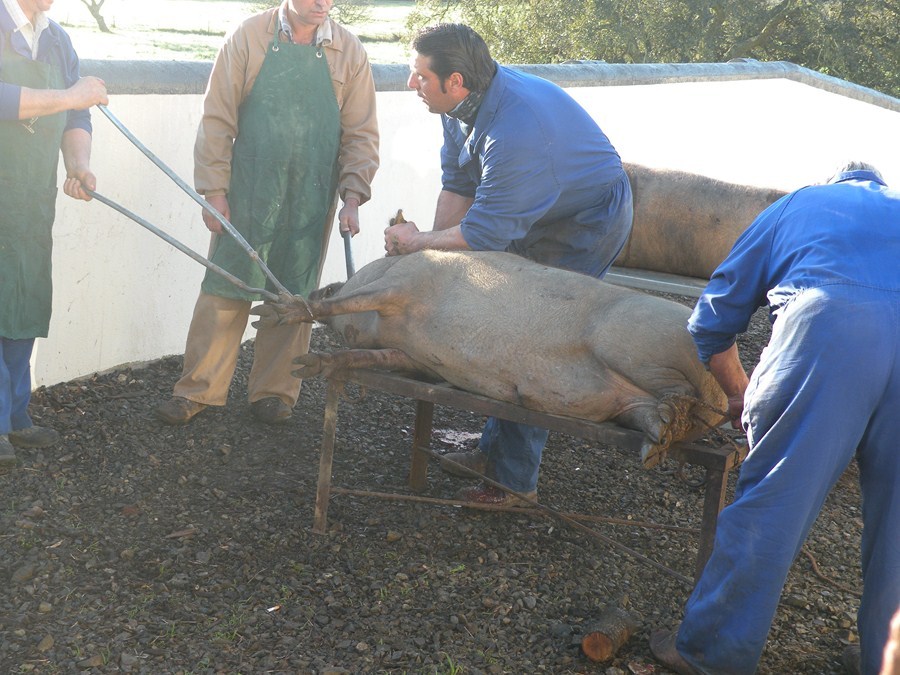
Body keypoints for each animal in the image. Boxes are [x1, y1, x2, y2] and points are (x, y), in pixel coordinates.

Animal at [251, 249, 728, 468]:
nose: (325, 284)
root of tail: (725, 393)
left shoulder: (406, 283)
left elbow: (341, 304)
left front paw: (274, 311)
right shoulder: (413, 359)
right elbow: (370, 355)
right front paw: (313, 365)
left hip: (635, 343)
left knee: (680, 392)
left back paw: (672, 419)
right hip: (624, 403)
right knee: (654, 414)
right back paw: (658, 440)